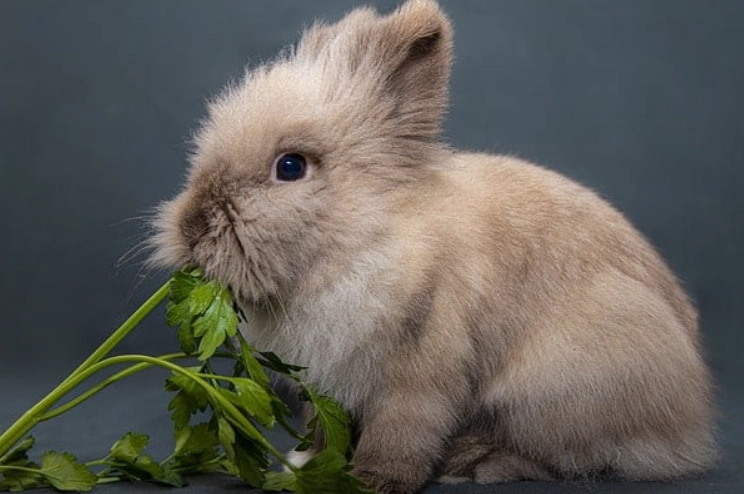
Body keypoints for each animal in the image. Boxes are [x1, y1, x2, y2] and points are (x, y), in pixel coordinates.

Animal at [149, 0, 717, 492]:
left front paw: (373, 481)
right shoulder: (328, 385)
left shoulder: (420, 370)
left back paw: (475, 462)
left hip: (557, 388)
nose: (193, 227)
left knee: (569, 455)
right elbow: (323, 428)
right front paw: (303, 465)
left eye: (290, 167)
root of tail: (690, 417)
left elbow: (402, 431)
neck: (363, 237)